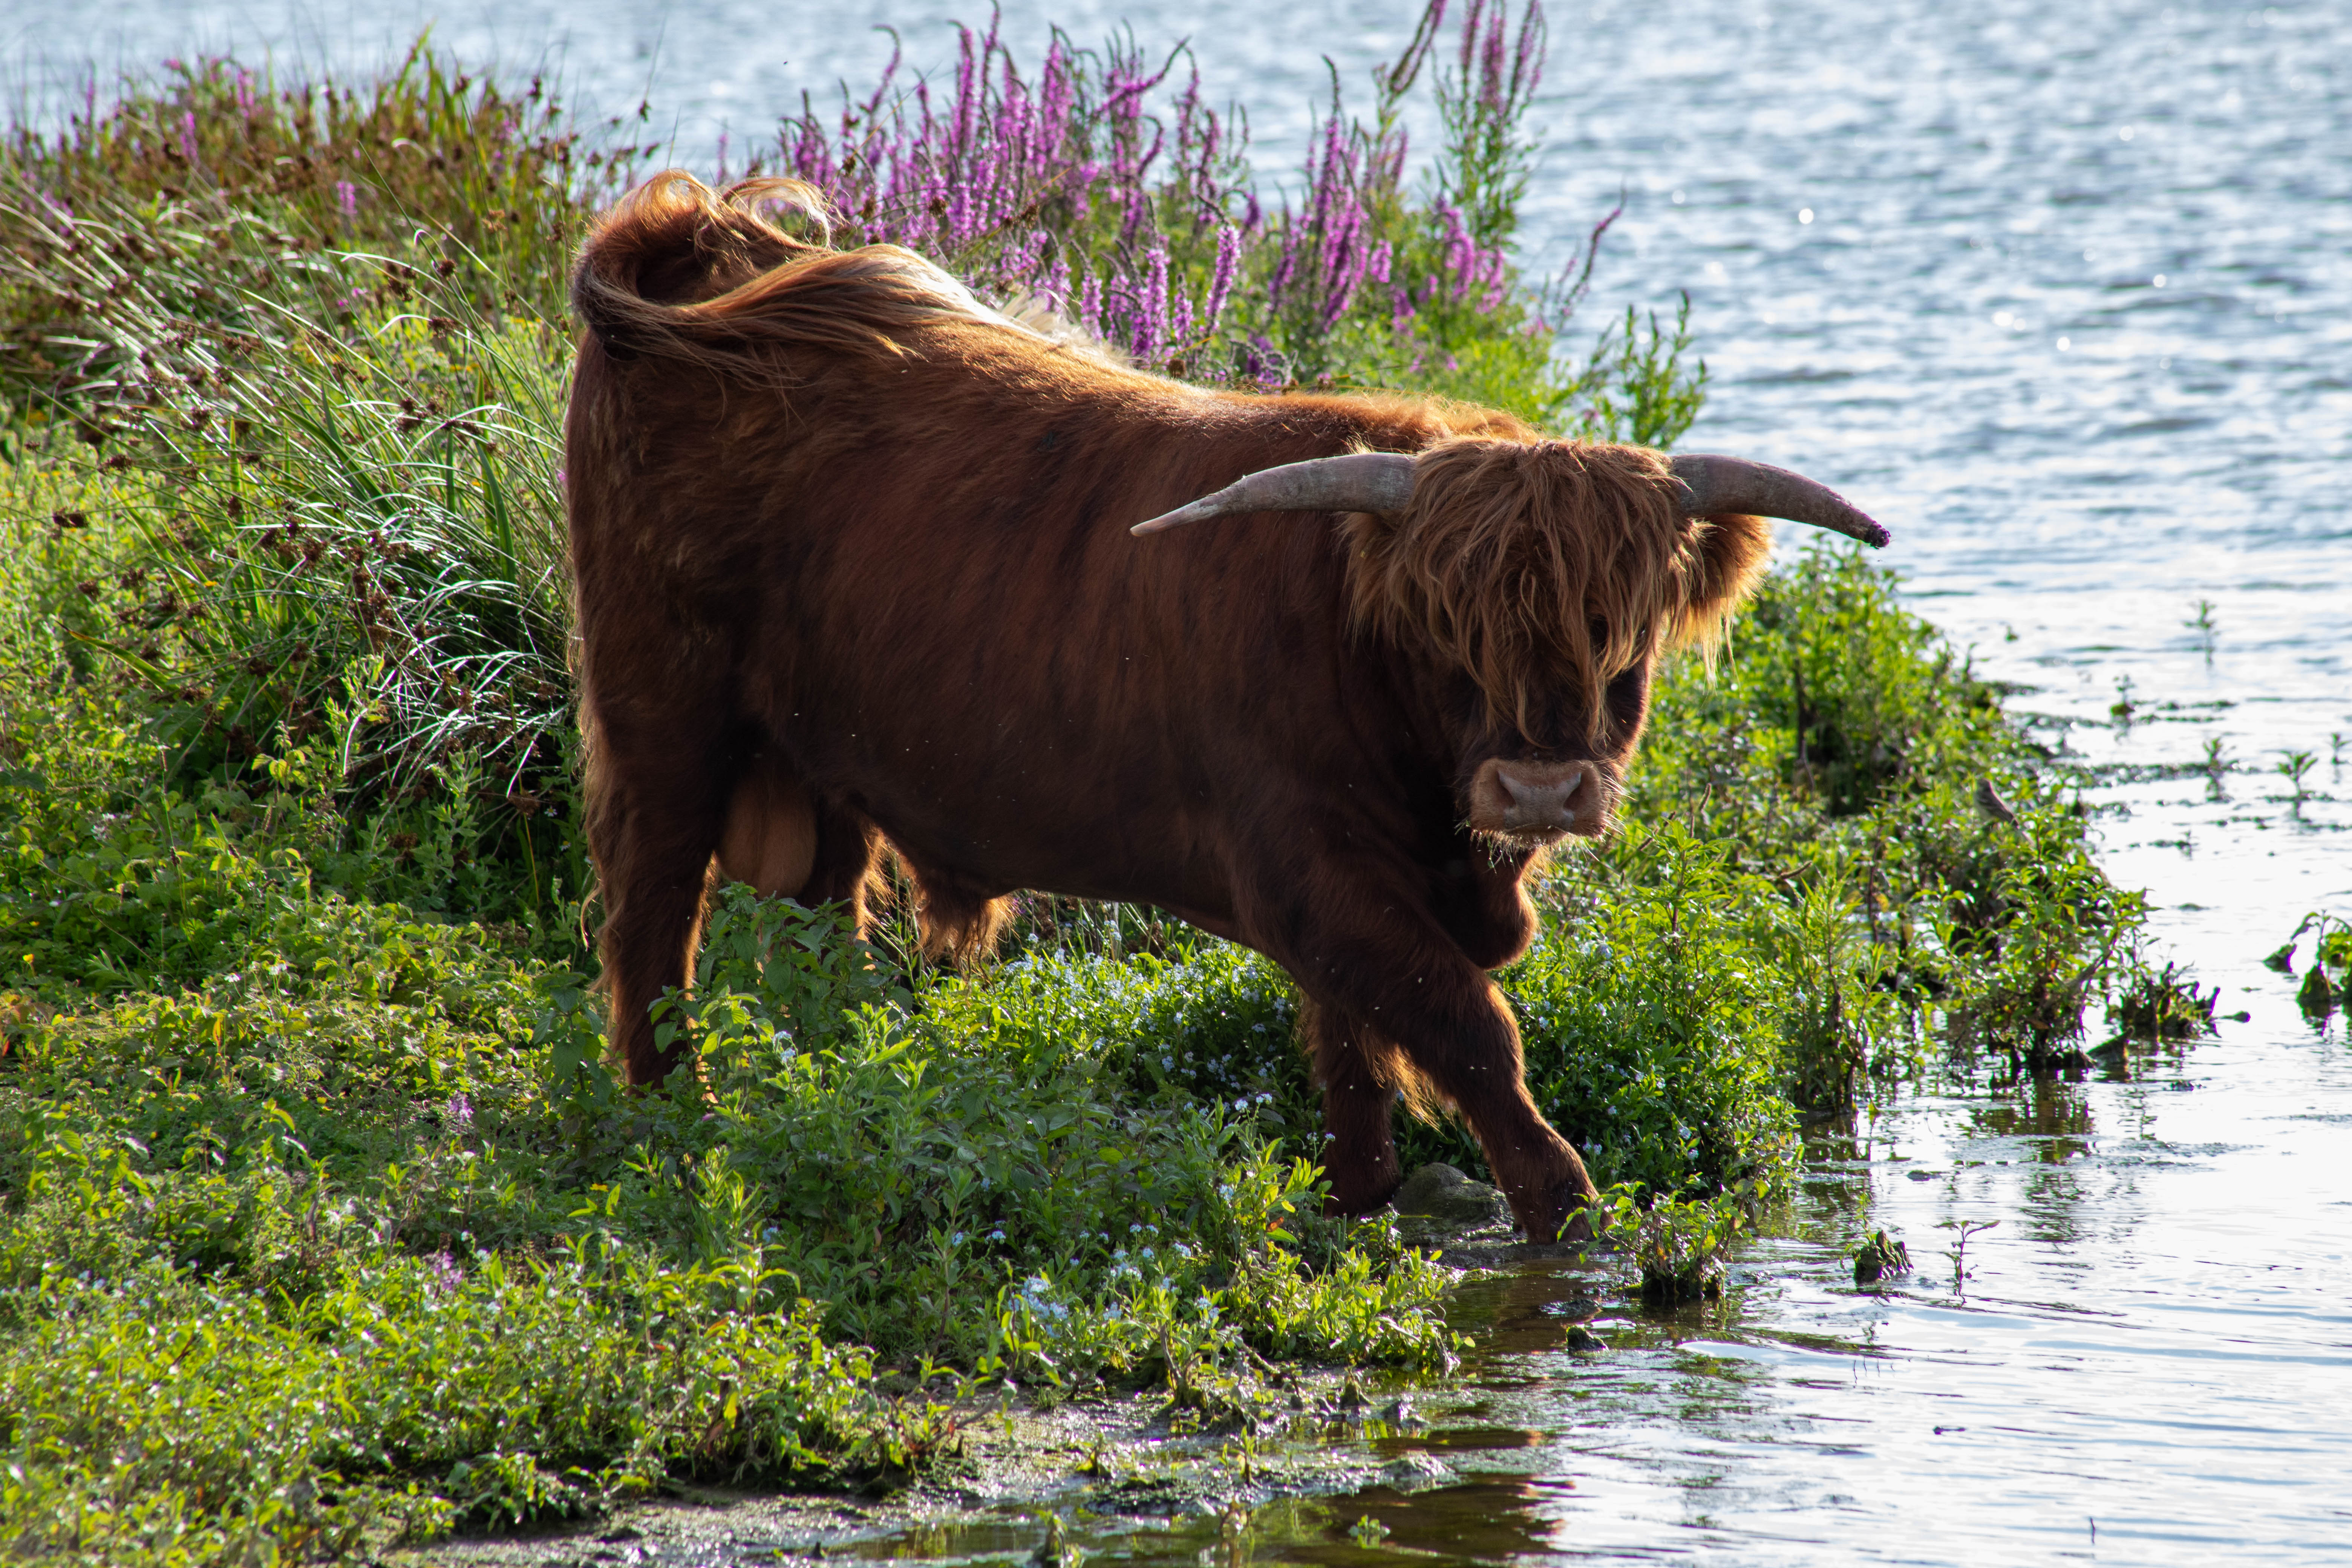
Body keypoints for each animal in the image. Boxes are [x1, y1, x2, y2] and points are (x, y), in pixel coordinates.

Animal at [564, 173, 1889, 1243]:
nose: (1538, 787)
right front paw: (1566, 1207)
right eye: (1448, 633)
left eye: (1624, 634)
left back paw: (839, 1083)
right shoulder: (1308, 865)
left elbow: (1354, 1050)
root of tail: (693, 250)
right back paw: (670, 1109)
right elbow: (1466, 1025)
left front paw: (1360, 1195)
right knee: (652, 914)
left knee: (818, 917)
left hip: (819, 757)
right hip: (660, 712)